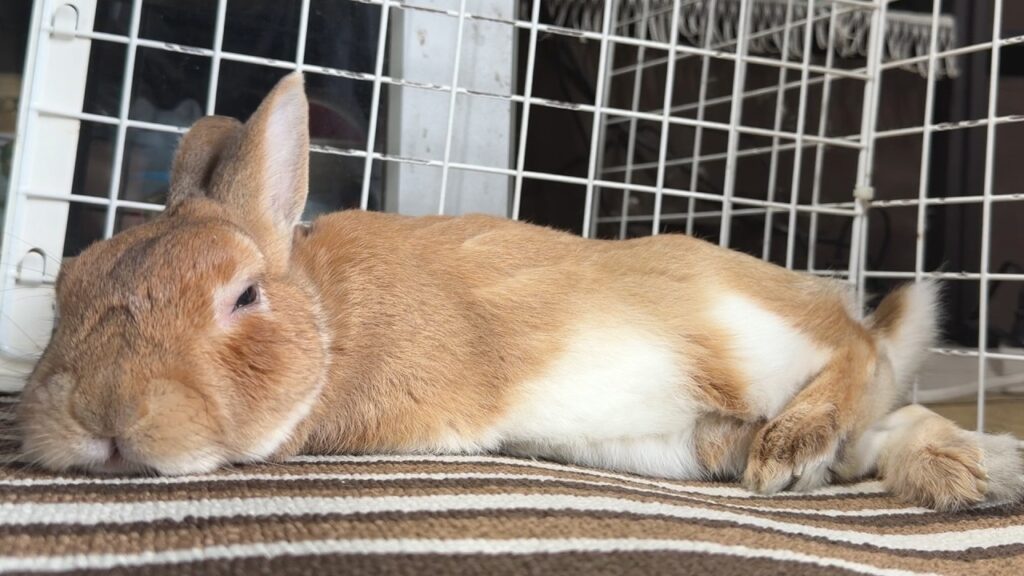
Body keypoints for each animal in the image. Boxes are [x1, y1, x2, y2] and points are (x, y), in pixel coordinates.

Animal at [17, 73, 1023, 511]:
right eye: (68, 286)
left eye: (244, 298)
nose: (101, 417)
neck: (332, 323)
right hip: (683, 433)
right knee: (872, 425)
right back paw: (960, 474)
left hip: (746, 333)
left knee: (857, 361)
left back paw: (799, 449)